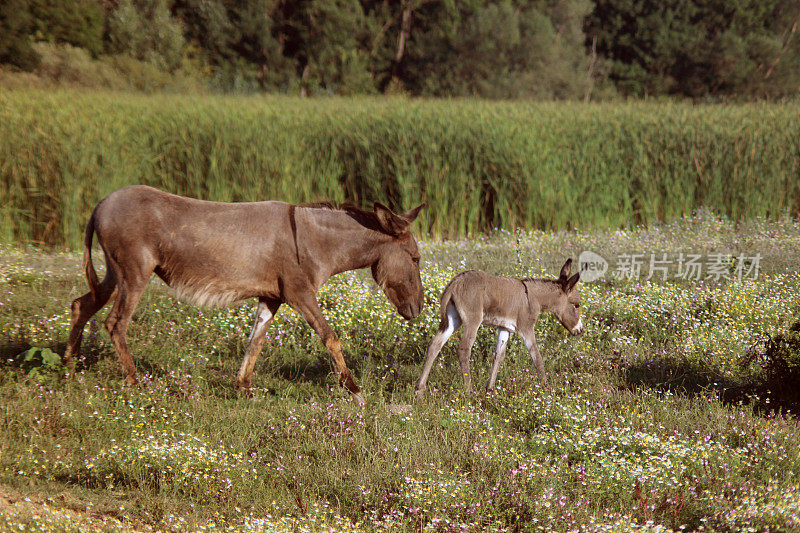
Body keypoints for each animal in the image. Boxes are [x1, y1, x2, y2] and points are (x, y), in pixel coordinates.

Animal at [416, 258, 584, 394]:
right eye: (577, 305)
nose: (580, 331)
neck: (533, 297)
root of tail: (455, 283)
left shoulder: (505, 328)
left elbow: (499, 356)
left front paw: (490, 389)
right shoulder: (526, 327)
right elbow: (536, 356)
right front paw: (546, 388)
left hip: (454, 318)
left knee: (435, 344)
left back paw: (420, 390)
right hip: (472, 319)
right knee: (464, 349)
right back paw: (469, 391)